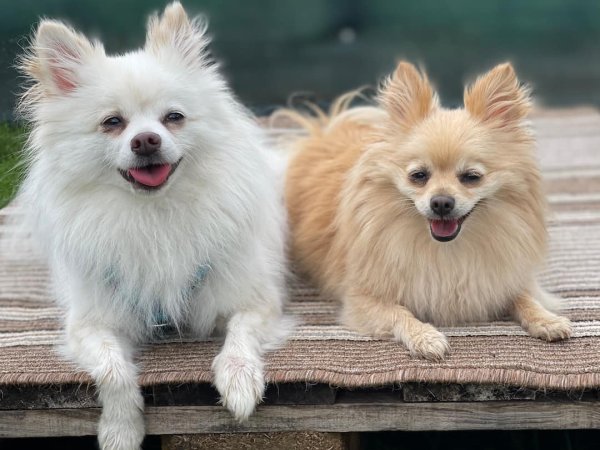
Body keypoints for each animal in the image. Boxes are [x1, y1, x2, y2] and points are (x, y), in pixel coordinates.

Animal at [17, 1, 290, 448]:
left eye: (173, 117)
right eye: (112, 123)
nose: (146, 140)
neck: (154, 214)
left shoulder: (255, 301)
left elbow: (240, 337)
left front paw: (239, 381)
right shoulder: (90, 323)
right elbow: (112, 371)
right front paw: (120, 429)